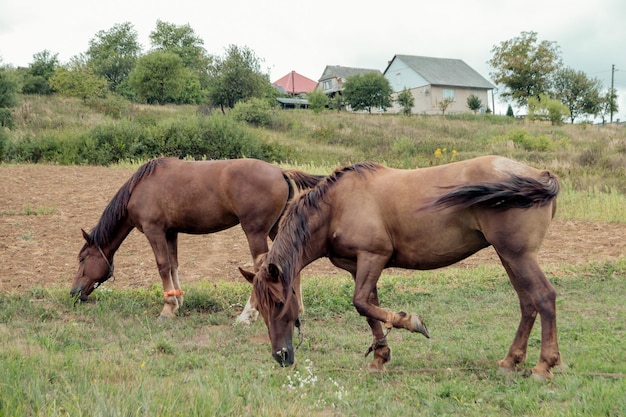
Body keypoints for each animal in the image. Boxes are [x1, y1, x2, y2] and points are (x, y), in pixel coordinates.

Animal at [70, 157, 320, 318]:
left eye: (82, 259)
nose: (74, 292)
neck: (140, 188)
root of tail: (281, 172)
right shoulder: (170, 232)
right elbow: (173, 265)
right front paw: (177, 302)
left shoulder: (155, 231)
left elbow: (162, 266)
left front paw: (167, 308)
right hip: (277, 229)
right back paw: (296, 308)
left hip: (255, 232)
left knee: (261, 267)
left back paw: (248, 314)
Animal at [240, 154, 560, 378]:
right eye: (260, 308)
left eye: (280, 303)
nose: (281, 356)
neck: (337, 206)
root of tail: (539, 175)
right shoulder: (358, 266)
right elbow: (370, 310)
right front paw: (380, 357)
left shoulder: (373, 257)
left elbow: (361, 303)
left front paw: (412, 322)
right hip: (508, 256)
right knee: (527, 303)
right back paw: (511, 360)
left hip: (518, 255)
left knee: (544, 297)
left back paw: (544, 365)